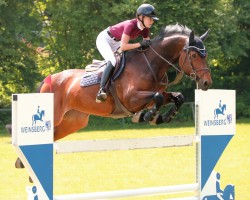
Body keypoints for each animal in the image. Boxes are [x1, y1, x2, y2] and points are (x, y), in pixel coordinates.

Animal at [36, 23, 212, 141]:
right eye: (194, 56)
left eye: (206, 55)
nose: (206, 83)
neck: (150, 65)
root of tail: (46, 81)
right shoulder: (131, 99)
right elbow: (158, 97)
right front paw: (148, 116)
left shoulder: (153, 96)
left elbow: (177, 97)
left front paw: (164, 117)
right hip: (57, 116)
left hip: (73, 121)